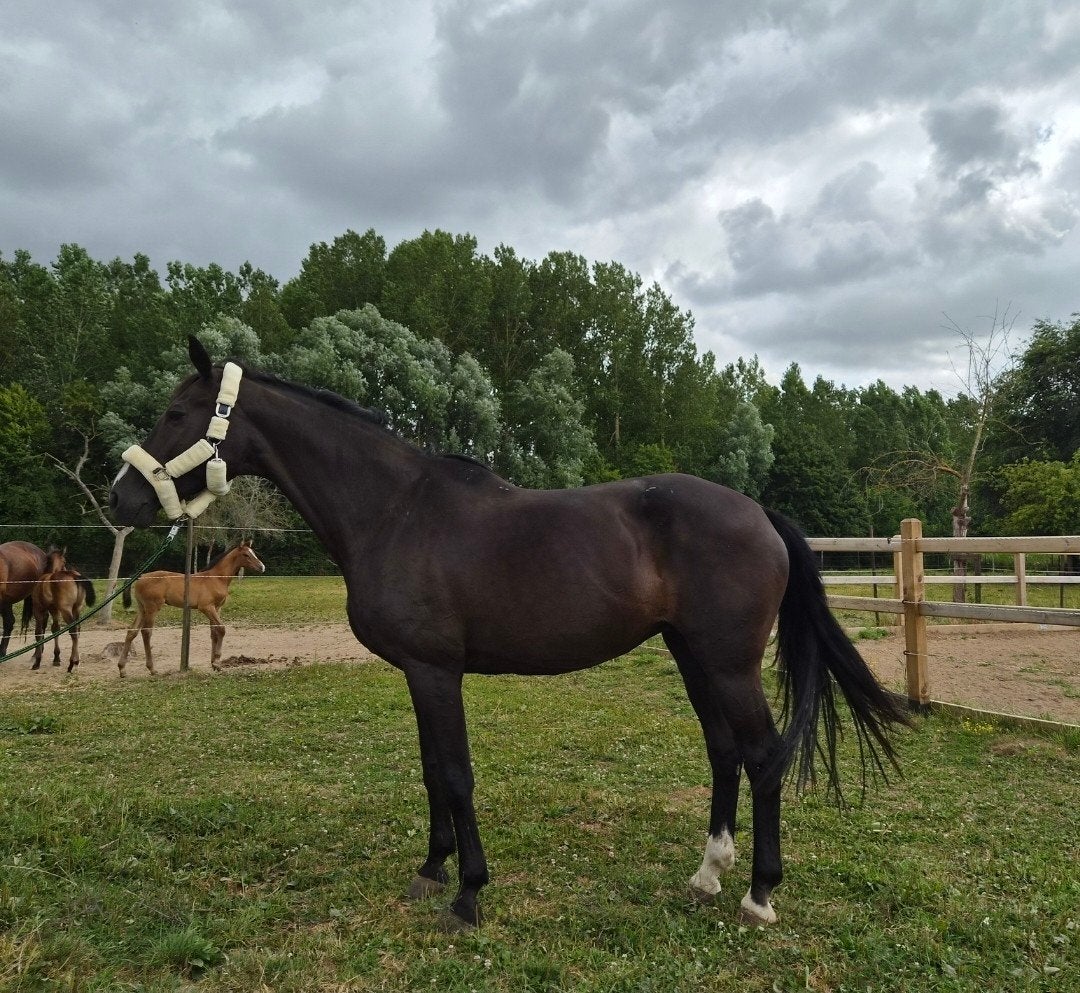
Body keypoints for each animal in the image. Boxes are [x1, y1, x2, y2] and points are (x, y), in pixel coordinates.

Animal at [118, 541, 266, 675]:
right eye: (246, 554)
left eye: (253, 553)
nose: (262, 567)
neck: (216, 578)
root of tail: (140, 577)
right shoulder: (206, 607)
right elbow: (222, 629)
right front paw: (217, 662)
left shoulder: (217, 608)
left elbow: (214, 633)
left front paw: (213, 663)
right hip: (152, 608)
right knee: (146, 632)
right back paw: (152, 669)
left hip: (142, 608)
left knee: (132, 631)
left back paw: (122, 669)